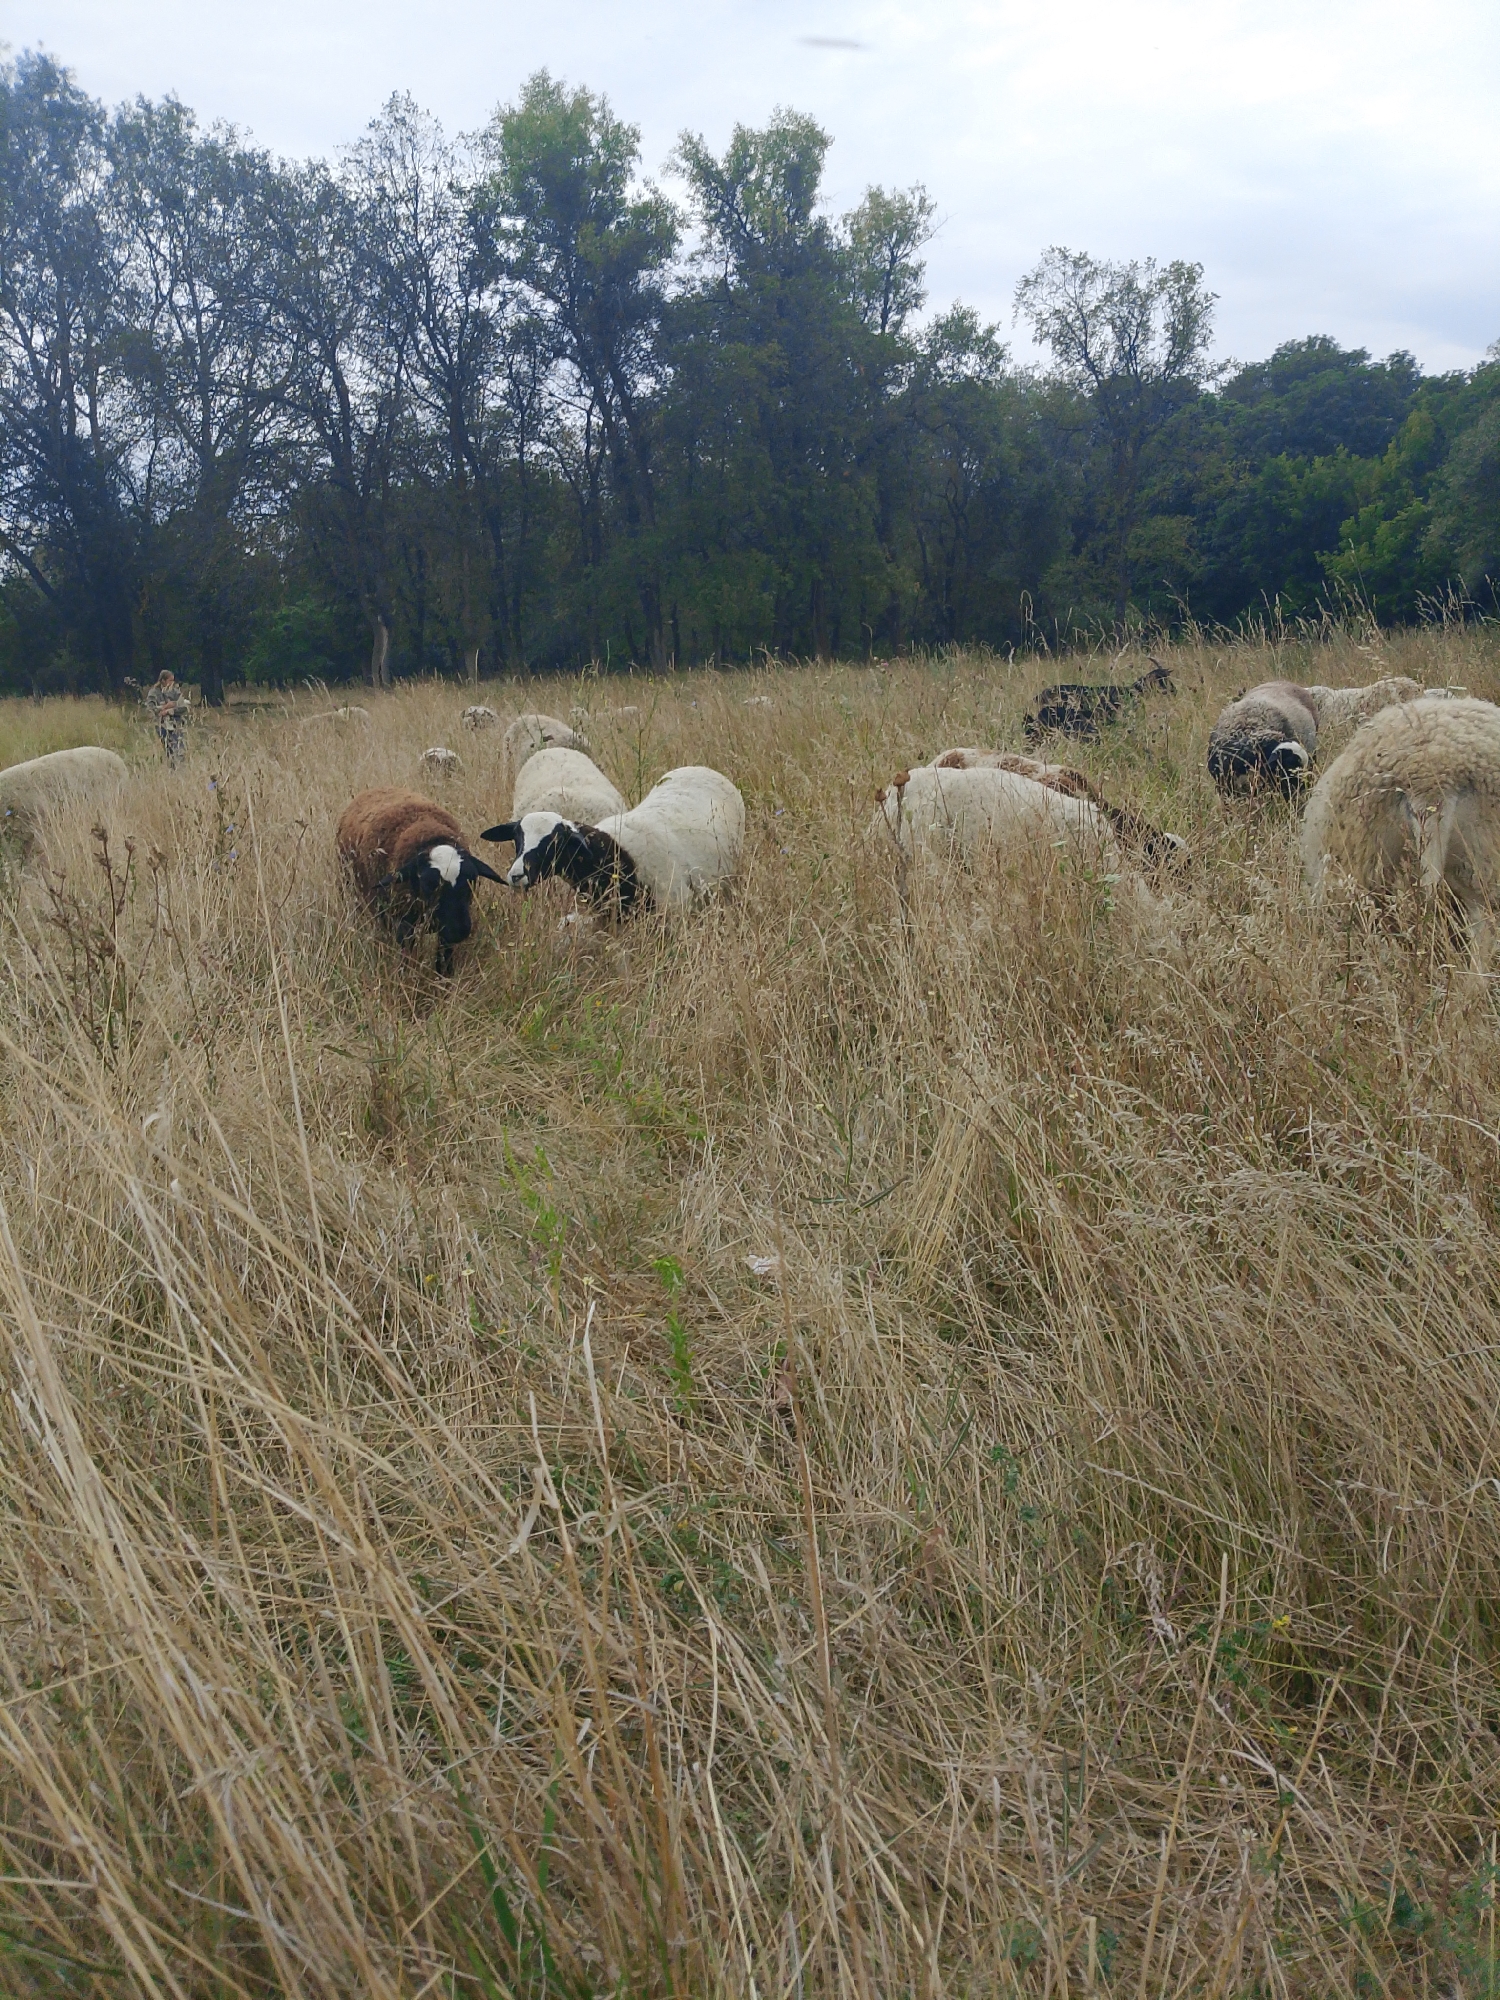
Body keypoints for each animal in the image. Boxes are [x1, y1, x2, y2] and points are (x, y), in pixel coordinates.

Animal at [336, 786, 503, 974]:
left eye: (472, 880)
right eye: (428, 885)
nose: (459, 931)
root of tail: (375, 789)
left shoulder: (444, 934)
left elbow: (443, 959)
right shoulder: (403, 924)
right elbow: (407, 957)